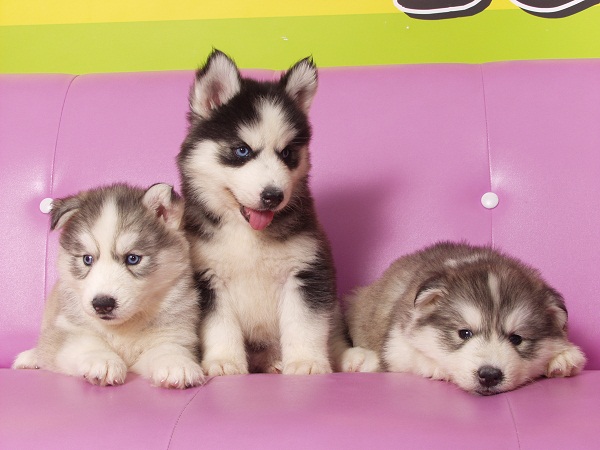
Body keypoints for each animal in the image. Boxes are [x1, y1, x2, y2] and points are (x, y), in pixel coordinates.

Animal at [12, 183, 205, 389]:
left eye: (133, 258)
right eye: (87, 259)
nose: (102, 304)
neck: (122, 327)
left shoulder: (175, 332)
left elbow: (168, 347)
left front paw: (177, 364)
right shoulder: (66, 329)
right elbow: (84, 343)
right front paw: (102, 360)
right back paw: (30, 357)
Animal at [177, 50, 336, 376]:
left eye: (287, 153)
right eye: (242, 151)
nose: (273, 196)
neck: (248, 235)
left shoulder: (307, 270)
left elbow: (305, 323)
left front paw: (307, 362)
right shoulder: (207, 278)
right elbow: (220, 326)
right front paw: (225, 361)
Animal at [339, 241, 586, 395]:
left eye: (516, 339)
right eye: (464, 333)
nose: (489, 375)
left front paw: (563, 356)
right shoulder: (396, 345)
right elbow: (414, 355)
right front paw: (438, 367)